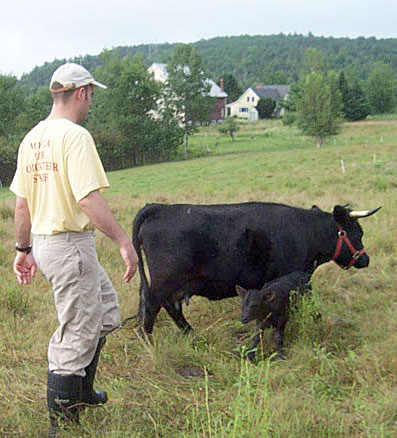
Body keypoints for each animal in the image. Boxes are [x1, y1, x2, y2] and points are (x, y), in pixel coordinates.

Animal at [131, 204, 378, 334]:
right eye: (358, 233)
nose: (365, 259)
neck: (306, 232)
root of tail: (160, 208)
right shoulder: (295, 279)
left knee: (171, 307)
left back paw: (190, 333)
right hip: (165, 282)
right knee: (152, 308)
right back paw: (150, 342)